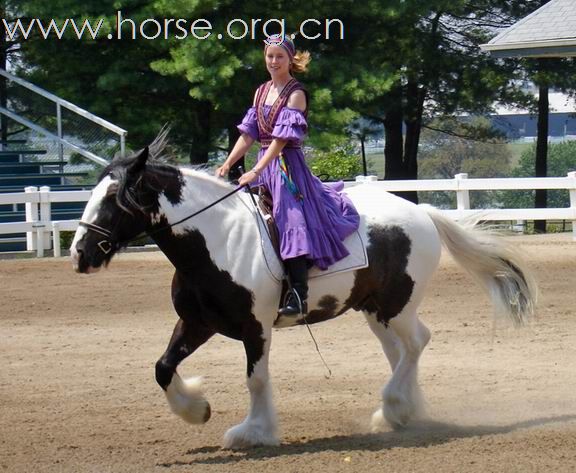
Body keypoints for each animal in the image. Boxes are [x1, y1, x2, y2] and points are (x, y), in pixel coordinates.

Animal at [70, 138, 536, 448]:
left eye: (114, 199)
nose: (79, 253)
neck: (217, 240)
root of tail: (420, 210)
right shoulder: (197, 323)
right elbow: (163, 367)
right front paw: (196, 409)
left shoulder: (256, 328)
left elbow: (256, 379)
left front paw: (253, 432)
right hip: (375, 310)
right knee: (401, 351)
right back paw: (402, 412)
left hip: (397, 306)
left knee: (417, 342)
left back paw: (394, 405)